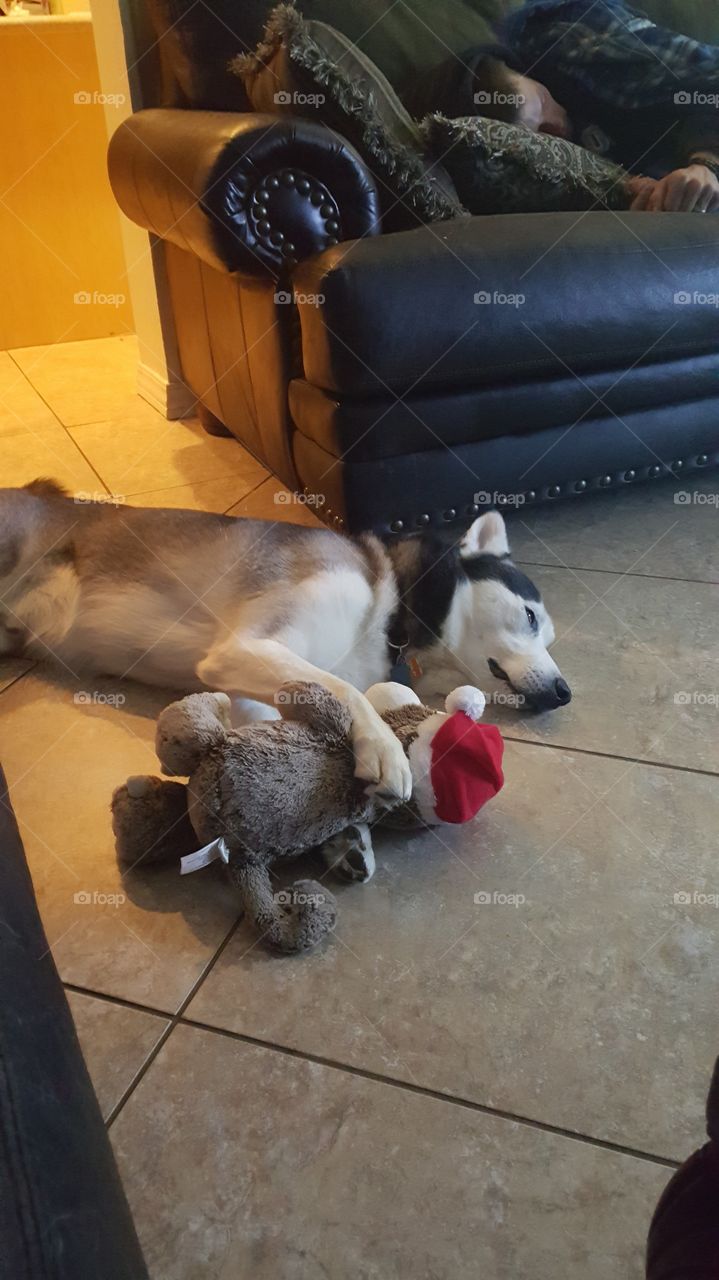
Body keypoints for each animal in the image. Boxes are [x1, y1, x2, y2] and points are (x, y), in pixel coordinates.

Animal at [1, 481, 570, 798]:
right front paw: (383, 747)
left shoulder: (252, 682)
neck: (391, 605)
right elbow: (345, 691)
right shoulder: (246, 648)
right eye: (529, 617)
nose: (565, 693)